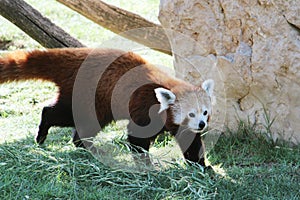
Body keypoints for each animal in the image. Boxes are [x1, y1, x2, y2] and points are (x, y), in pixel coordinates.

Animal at [0, 48, 216, 167]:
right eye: (191, 114)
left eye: (205, 112)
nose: (202, 124)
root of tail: (76, 56)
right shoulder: (143, 107)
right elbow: (137, 138)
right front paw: (146, 165)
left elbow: (190, 142)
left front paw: (202, 167)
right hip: (89, 98)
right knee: (59, 114)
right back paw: (44, 133)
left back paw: (88, 148)